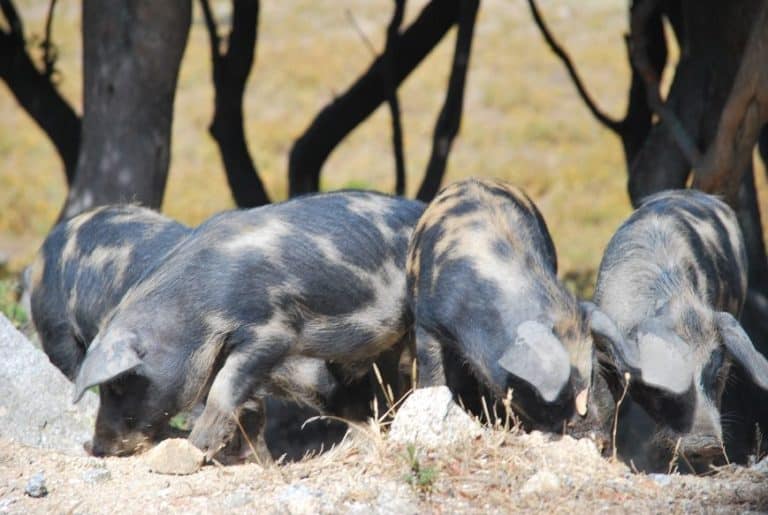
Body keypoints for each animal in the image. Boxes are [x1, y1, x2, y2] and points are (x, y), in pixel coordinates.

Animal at [70, 192, 426, 460]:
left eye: (118, 384)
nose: (94, 447)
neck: (194, 315)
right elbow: (249, 410)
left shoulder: (272, 331)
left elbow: (223, 390)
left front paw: (195, 448)